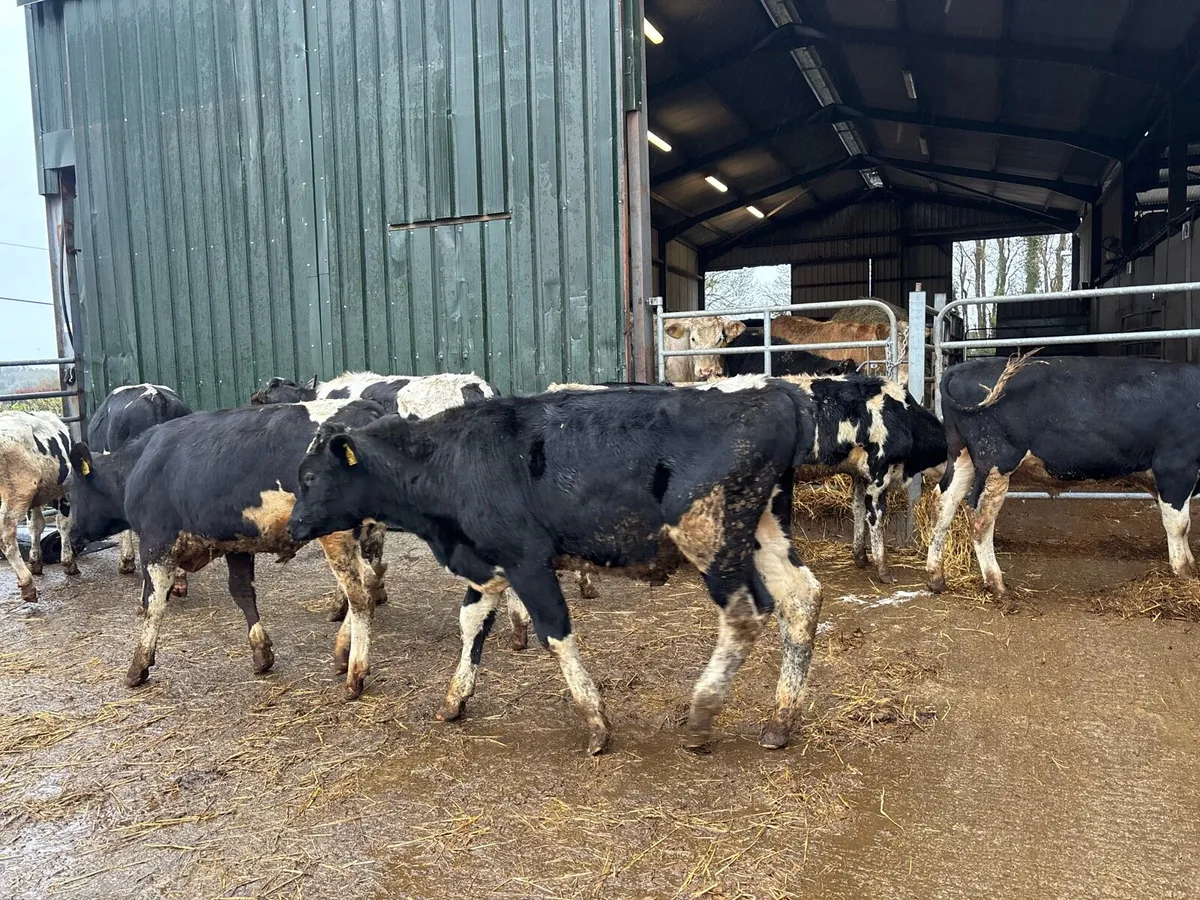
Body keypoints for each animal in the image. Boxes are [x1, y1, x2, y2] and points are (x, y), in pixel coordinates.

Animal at [0, 411, 77, 601]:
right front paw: (69, 562)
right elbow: (63, 524)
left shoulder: (34, 501)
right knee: (6, 536)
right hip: (18, 492)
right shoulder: (65, 491)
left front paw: (35, 562)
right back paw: (27, 584)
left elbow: (35, 526)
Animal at [288, 375, 825, 755]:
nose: (292, 527)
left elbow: (555, 632)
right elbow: (471, 622)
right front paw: (455, 698)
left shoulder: (527, 560)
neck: (451, 461)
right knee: (801, 599)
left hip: (711, 537)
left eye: (311, 477)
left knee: (745, 615)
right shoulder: (485, 560)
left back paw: (702, 713)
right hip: (765, 532)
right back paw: (782, 720)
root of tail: (772, 394)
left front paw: (595, 721)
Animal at [926, 354, 1200, 598]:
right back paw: (996, 584)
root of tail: (962, 368)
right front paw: (1184, 573)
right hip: (996, 461)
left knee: (944, 501)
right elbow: (1179, 525)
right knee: (980, 516)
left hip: (962, 456)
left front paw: (1190, 565)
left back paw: (936, 577)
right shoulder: (1175, 467)